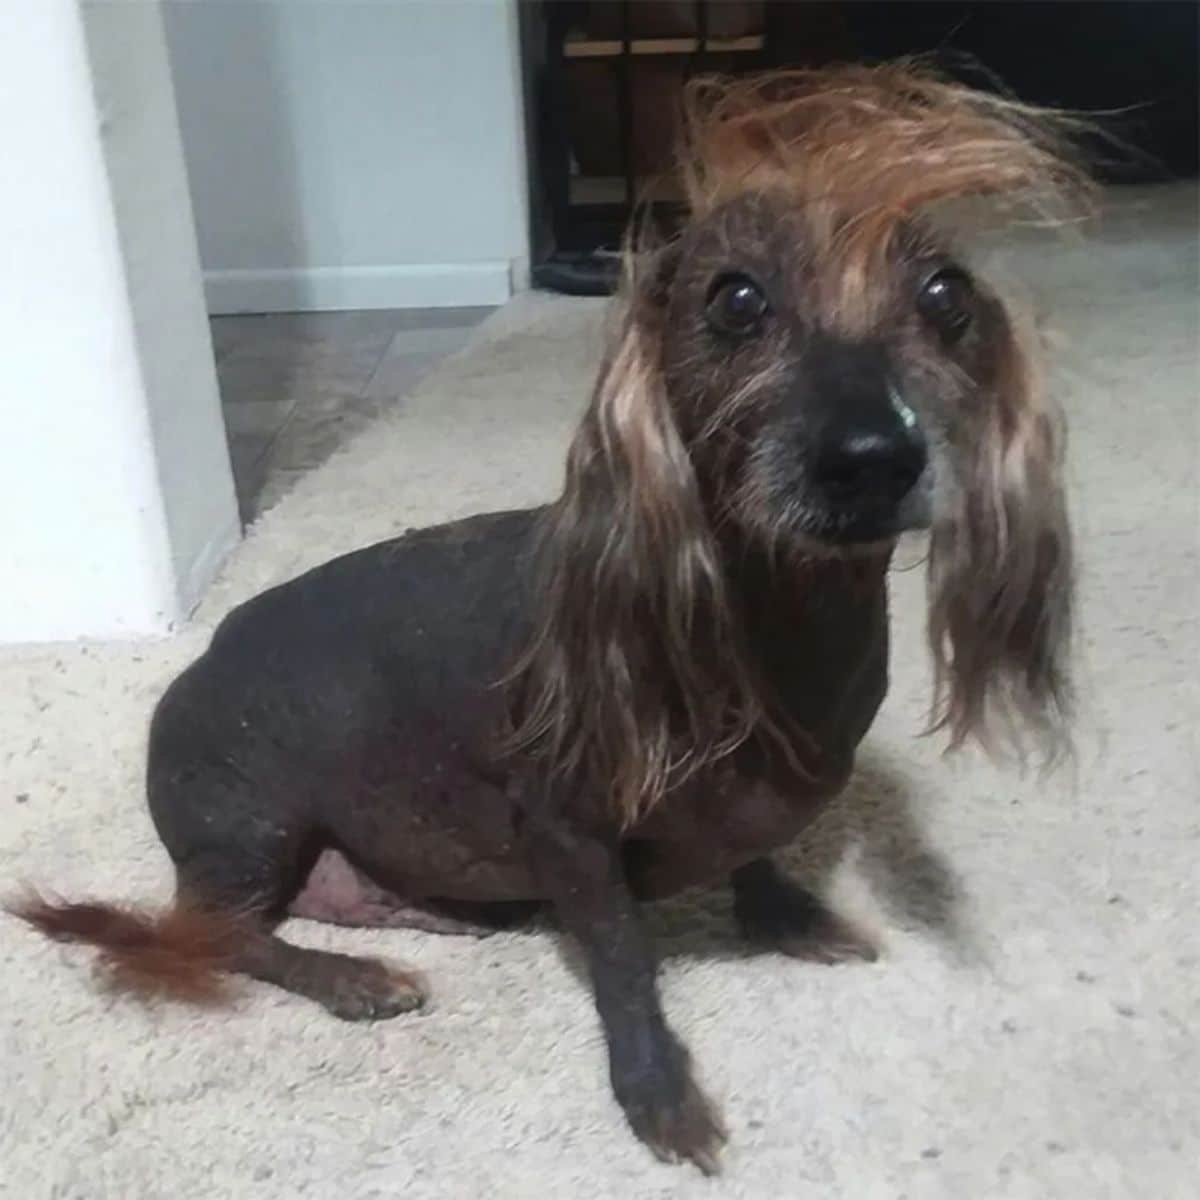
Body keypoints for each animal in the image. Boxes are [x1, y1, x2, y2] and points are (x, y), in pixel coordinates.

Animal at [14, 65, 1089, 1171]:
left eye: (946, 295)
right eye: (736, 298)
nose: (872, 455)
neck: (774, 629)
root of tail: (187, 678)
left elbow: (754, 853)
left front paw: (782, 916)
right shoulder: (572, 835)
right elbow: (624, 965)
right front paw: (657, 1090)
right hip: (248, 826)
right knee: (217, 937)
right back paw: (349, 977)